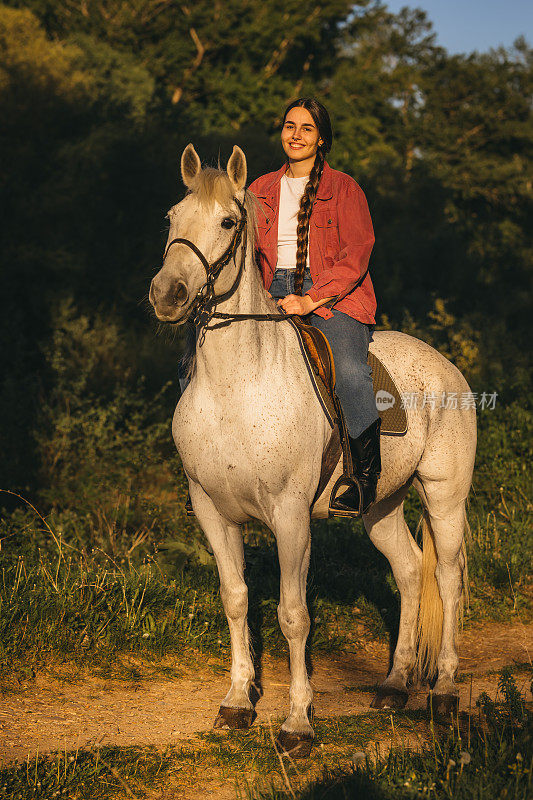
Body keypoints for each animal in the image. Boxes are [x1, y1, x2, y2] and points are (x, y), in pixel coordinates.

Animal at [148, 145, 476, 756]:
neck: (236, 386)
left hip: (445, 498)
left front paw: (298, 722)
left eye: (227, 222)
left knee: (445, 577)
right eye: (171, 217)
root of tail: (448, 368)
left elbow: (293, 614)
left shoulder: (290, 516)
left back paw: (443, 693)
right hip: (379, 507)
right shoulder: (211, 510)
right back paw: (395, 685)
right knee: (409, 572)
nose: (167, 295)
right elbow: (236, 598)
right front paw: (237, 702)